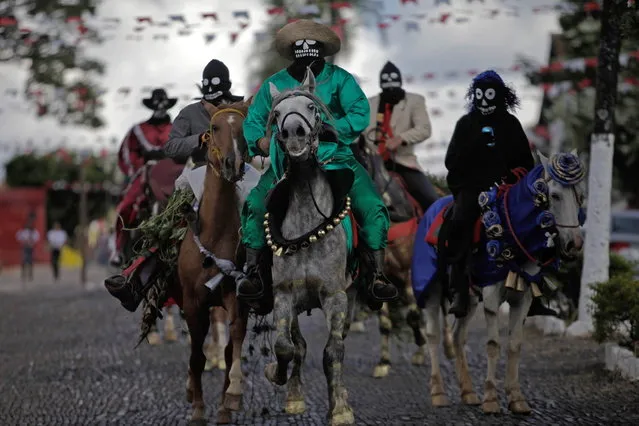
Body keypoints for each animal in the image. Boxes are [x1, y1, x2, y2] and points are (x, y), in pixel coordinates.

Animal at [170, 99, 252, 422]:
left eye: (244, 127)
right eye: (214, 128)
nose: (233, 164)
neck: (215, 232)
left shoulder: (237, 294)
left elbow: (234, 344)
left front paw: (230, 399)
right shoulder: (193, 302)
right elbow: (196, 354)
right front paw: (197, 408)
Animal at [262, 70, 360, 426]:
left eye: (311, 107)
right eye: (277, 113)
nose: (294, 132)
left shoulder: (335, 295)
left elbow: (333, 352)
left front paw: (340, 408)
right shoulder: (284, 294)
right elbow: (287, 346)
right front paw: (280, 379)